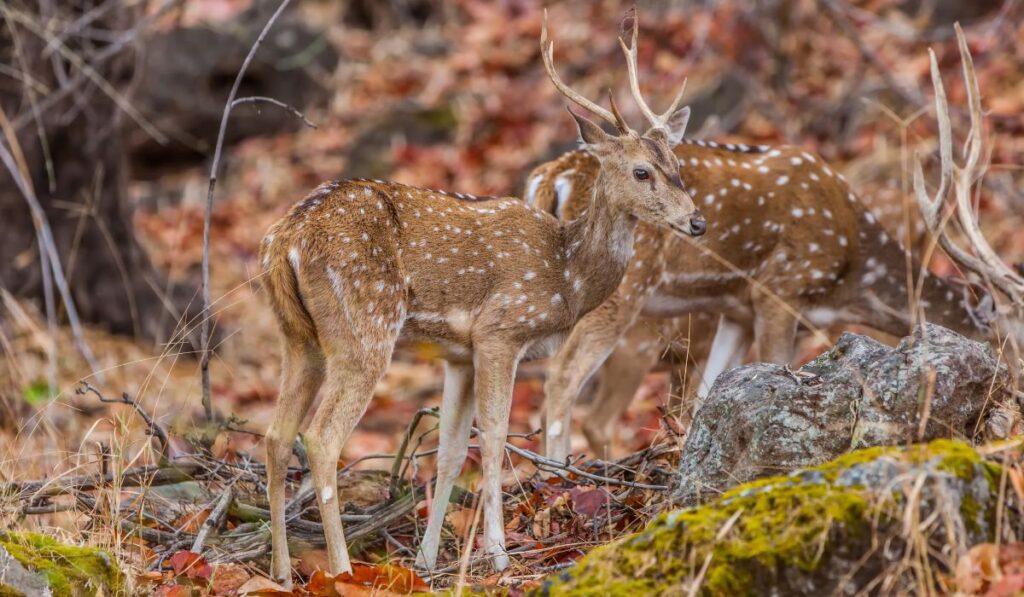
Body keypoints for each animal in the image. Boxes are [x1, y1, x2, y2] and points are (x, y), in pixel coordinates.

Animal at [258, 11, 702, 583]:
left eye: (678, 168)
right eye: (640, 171)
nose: (697, 221)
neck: (565, 276)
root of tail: (285, 240)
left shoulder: (459, 354)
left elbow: (450, 450)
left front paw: (428, 560)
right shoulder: (500, 331)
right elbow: (492, 439)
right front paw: (497, 553)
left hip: (298, 336)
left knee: (275, 435)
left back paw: (281, 572)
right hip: (364, 327)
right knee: (321, 436)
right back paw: (341, 569)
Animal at [526, 16, 1007, 462]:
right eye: (1007, 331)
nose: (1003, 394)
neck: (851, 273)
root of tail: (550, 177)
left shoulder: (738, 310)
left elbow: (707, 397)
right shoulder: (780, 290)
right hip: (624, 294)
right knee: (564, 380)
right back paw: (558, 472)